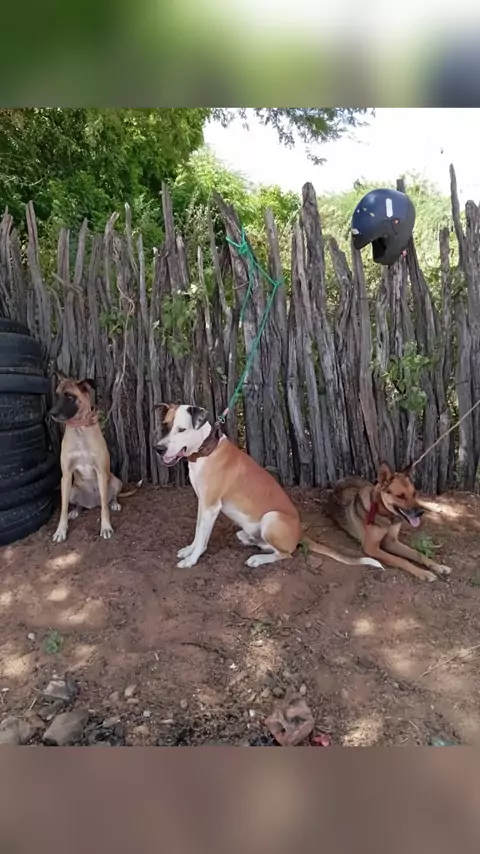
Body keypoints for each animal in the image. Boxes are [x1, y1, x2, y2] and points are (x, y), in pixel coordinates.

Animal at [49, 378, 124, 543]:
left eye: (70, 397)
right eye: (56, 396)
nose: (52, 413)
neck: (79, 430)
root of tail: (92, 503)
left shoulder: (101, 473)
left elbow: (104, 508)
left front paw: (106, 527)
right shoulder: (66, 476)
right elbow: (63, 508)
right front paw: (60, 530)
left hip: (115, 481)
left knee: (108, 500)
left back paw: (114, 503)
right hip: (72, 490)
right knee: (77, 504)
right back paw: (76, 511)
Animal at [153, 403, 382, 570]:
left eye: (182, 429)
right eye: (165, 426)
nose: (159, 449)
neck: (205, 451)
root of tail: (300, 533)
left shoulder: (211, 506)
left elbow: (202, 537)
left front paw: (192, 559)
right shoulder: (203, 503)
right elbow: (197, 531)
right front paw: (189, 550)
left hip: (272, 518)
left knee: (285, 554)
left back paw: (257, 559)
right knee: (265, 544)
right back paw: (249, 539)